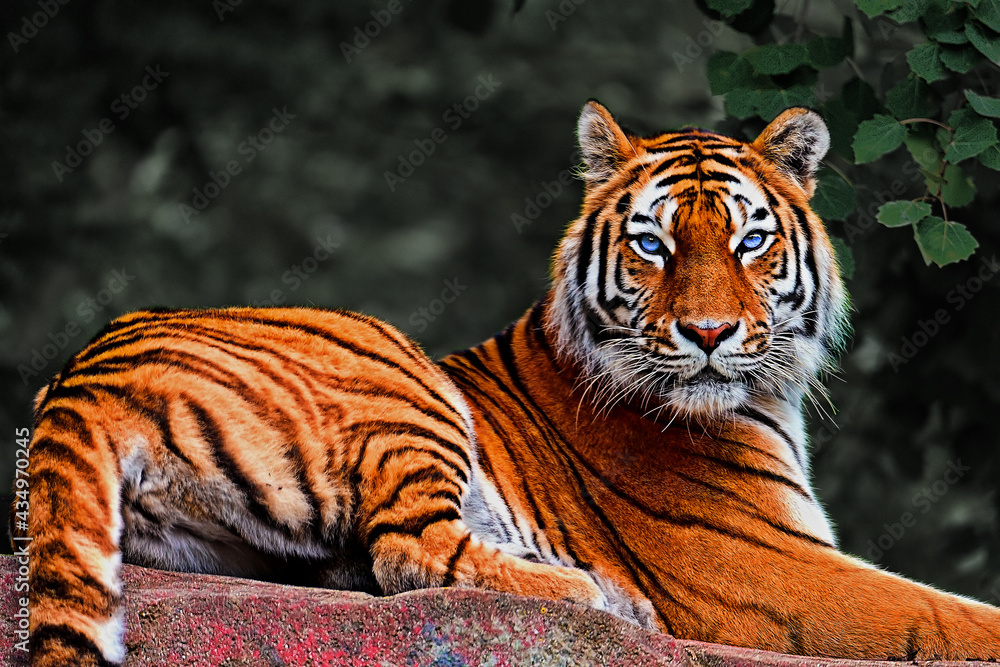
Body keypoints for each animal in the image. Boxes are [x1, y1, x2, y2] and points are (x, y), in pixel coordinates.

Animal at [12, 102, 1000, 667]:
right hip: (395, 371)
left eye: (750, 240)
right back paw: (597, 596)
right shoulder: (764, 566)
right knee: (410, 550)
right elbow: (949, 615)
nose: (710, 335)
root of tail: (78, 375)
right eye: (653, 244)